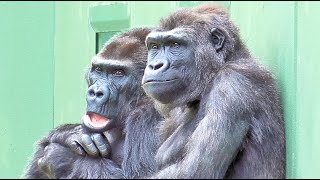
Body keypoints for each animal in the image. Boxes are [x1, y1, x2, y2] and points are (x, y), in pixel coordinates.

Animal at [23, 27, 162, 179]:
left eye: (119, 73)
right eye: (98, 70)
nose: (96, 92)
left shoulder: (149, 116)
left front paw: (62, 157)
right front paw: (70, 133)